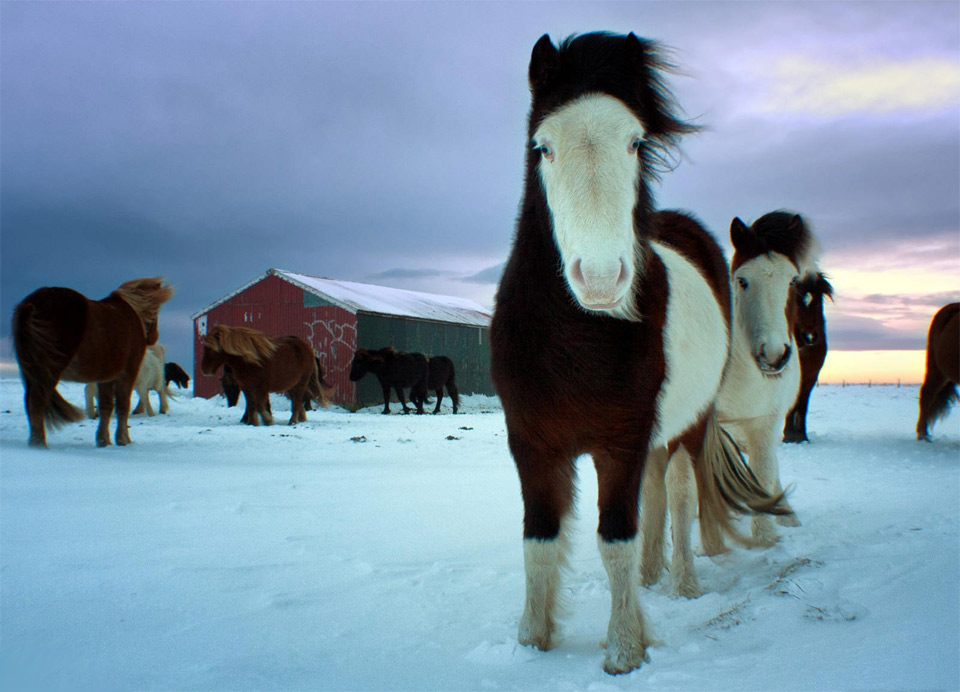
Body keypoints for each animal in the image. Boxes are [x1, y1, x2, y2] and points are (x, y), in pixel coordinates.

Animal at [13, 277, 174, 447]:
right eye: (156, 309)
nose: (153, 338)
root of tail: (34, 302)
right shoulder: (127, 375)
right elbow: (122, 405)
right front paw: (123, 439)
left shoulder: (106, 378)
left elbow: (106, 406)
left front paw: (103, 440)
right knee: (37, 401)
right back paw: (39, 444)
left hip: (31, 372)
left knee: (29, 402)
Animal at [200, 325, 328, 425]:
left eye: (213, 349)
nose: (205, 370)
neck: (250, 362)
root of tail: (309, 349)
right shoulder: (247, 387)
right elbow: (251, 405)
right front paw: (252, 422)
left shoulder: (263, 388)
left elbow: (259, 405)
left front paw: (267, 420)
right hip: (291, 385)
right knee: (297, 401)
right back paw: (300, 419)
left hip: (301, 383)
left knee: (297, 402)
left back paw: (292, 422)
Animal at [489, 32, 788, 674]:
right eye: (543, 147)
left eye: (635, 142)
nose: (602, 279)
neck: (575, 345)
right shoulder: (531, 444)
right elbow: (539, 542)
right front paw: (533, 640)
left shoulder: (619, 443)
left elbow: (615, 541)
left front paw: (624, 650)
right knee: (655, 497)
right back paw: (654, 578)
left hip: (687, 427)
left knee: (676, 494)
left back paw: (682, 583)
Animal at [642, 212, 814, 599]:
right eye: (743, 281)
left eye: (792, 280)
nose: (774, 355)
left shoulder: (765, 422)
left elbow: (763, 470)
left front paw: (764, 537)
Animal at [783, 271, 833, 443]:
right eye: (797, 302)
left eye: (818, 302)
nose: (809, 337)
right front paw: (789, 435)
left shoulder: (810, 377)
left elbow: (802, 405)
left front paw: (801, 435)